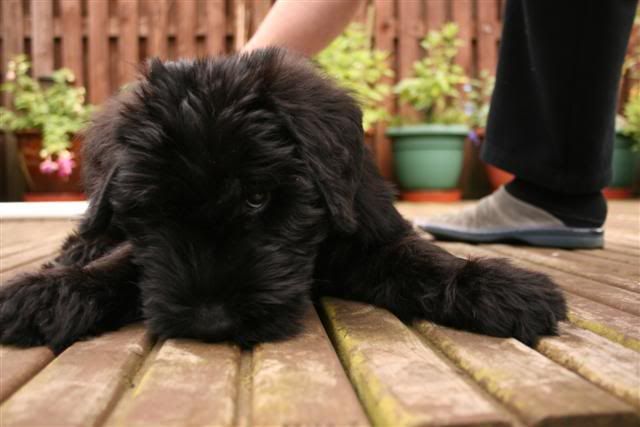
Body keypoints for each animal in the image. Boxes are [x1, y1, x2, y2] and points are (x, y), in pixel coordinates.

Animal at [0, 48, 564, 352]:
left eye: (258, 197)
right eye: (155, 211)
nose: (211, 323)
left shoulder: (371, 239)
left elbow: (421, 258)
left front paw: (498, 288)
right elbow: (122, 262)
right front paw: (48, 294)